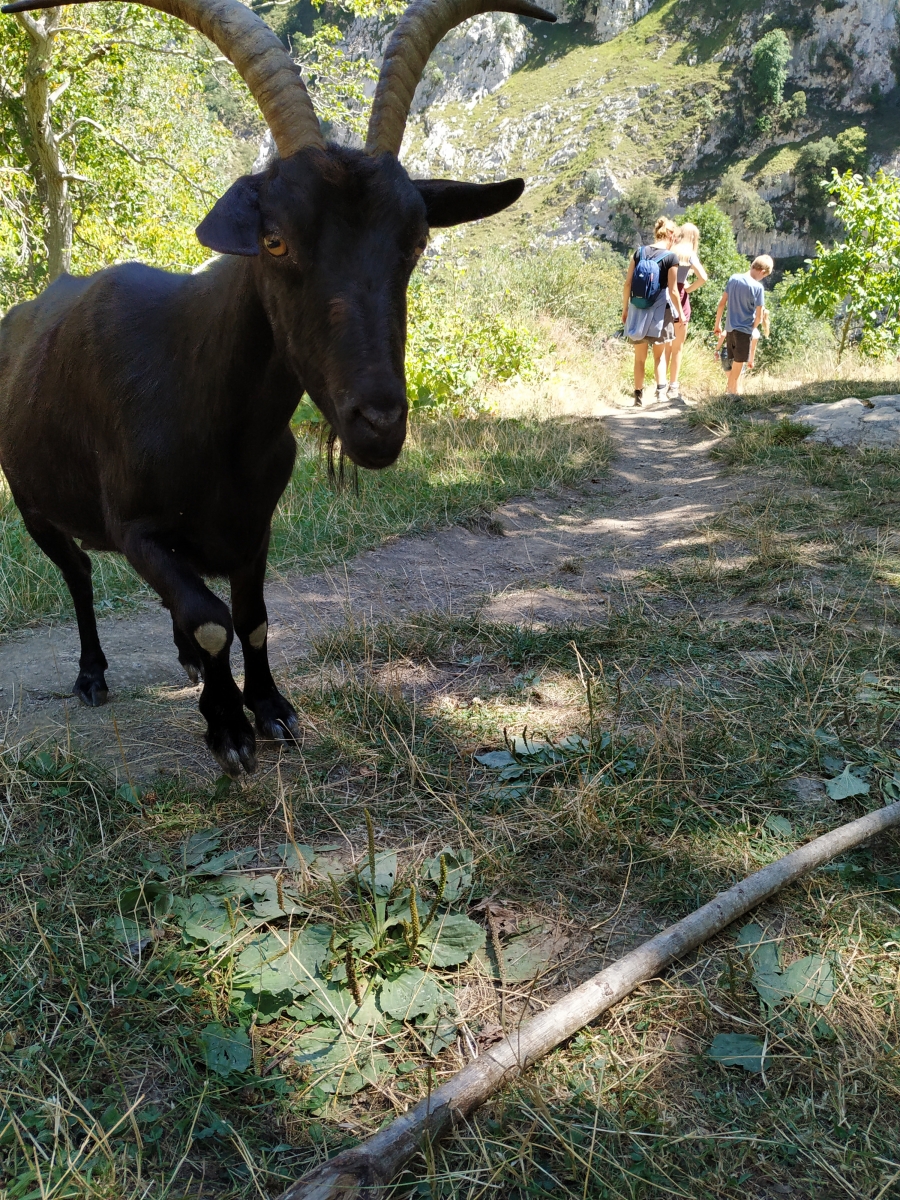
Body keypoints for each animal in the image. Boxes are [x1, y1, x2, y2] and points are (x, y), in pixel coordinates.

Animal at [0, 0, 556, 772]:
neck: (211, 412)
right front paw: (228, 729)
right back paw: (91, 676)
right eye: (274, 240)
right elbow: (210, 619)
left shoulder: (253, 523)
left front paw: (269, 707)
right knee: (79, 574)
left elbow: (253, 618)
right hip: (33, 504)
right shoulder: (135, 526)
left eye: (416, 240)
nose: (377, 421)